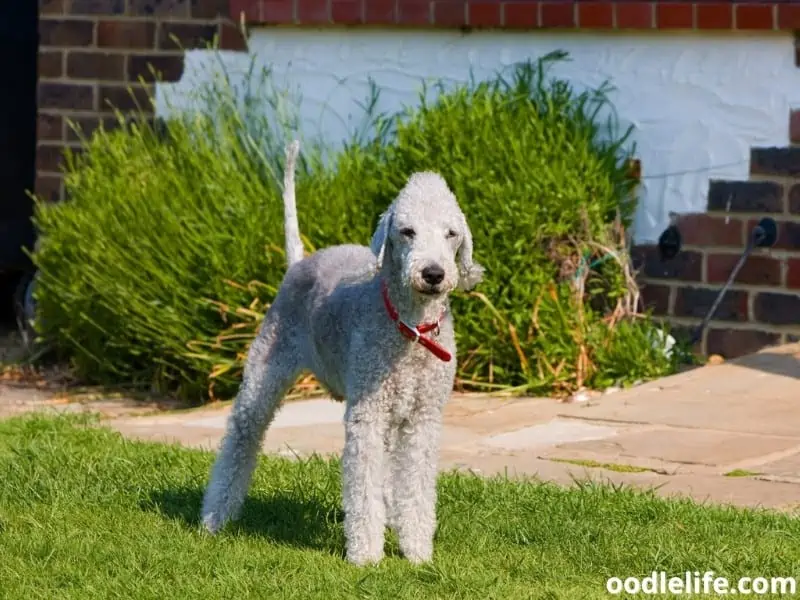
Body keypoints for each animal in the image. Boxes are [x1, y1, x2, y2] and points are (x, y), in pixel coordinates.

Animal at [203, 139, 484, 564]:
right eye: (407, 231)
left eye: (451, 234)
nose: (433, 273)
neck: (409, 328)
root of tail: (300, 262)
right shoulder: (366, 414)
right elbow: (363, 486)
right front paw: (366, 555)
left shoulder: (423, 417)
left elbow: (416, 486)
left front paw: (418, 552)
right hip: (266, 368)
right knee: (241, 435)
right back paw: (215, 517)